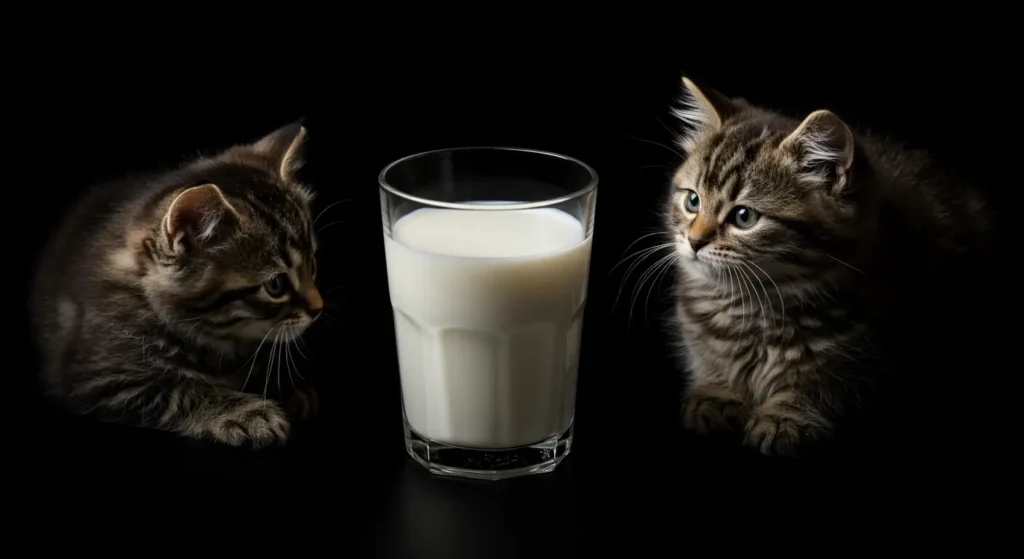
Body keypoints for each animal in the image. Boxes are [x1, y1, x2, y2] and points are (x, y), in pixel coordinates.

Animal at [29, 119, 323, 446]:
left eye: (312, 264)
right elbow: (177, 391)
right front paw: (247, 413)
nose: (318, 308)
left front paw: (289, 389)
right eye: (276, 286)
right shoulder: (97, 378)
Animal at [663, 76, 991, 454]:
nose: (694, 241)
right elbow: (710, 358)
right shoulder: (696, 329)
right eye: (693, 201)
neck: (754, 306)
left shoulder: (863, 358)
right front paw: (716, 394)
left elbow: (821, 385)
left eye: (744, 217)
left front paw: (786, 417)